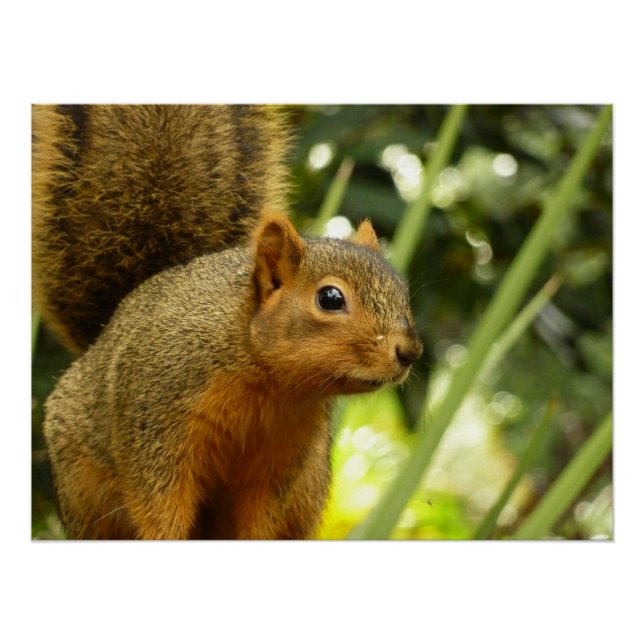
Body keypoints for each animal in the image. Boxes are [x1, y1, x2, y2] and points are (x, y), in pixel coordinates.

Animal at [32, 104, 423, 540]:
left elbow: (260, 517)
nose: (410, 351)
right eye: (330, 298)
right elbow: (159, 505)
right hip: (83, 486)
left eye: (402, 290)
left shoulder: (281, 461)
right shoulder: (156, 421)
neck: (267, 379)